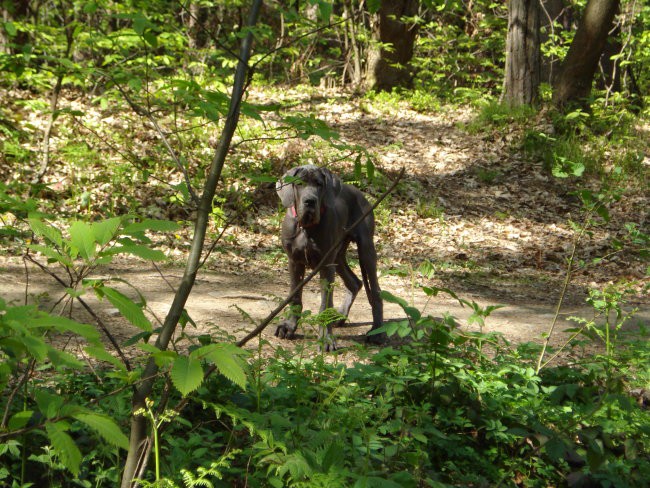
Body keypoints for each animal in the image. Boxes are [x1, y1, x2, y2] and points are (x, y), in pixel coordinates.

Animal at [274, 165, 384, 350]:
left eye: (319, 184)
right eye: (299, 183)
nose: (310, 201)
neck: (306, 228)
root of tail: (358, 192)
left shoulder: (326, 266)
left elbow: (325, 303)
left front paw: (326, 338)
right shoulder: (295, 261)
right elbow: (295, 297)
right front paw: (289, 326)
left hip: (365, 250)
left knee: (375, 291)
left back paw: (377, 331)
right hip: (337, 256)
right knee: (355, 282)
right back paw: (339, 315)